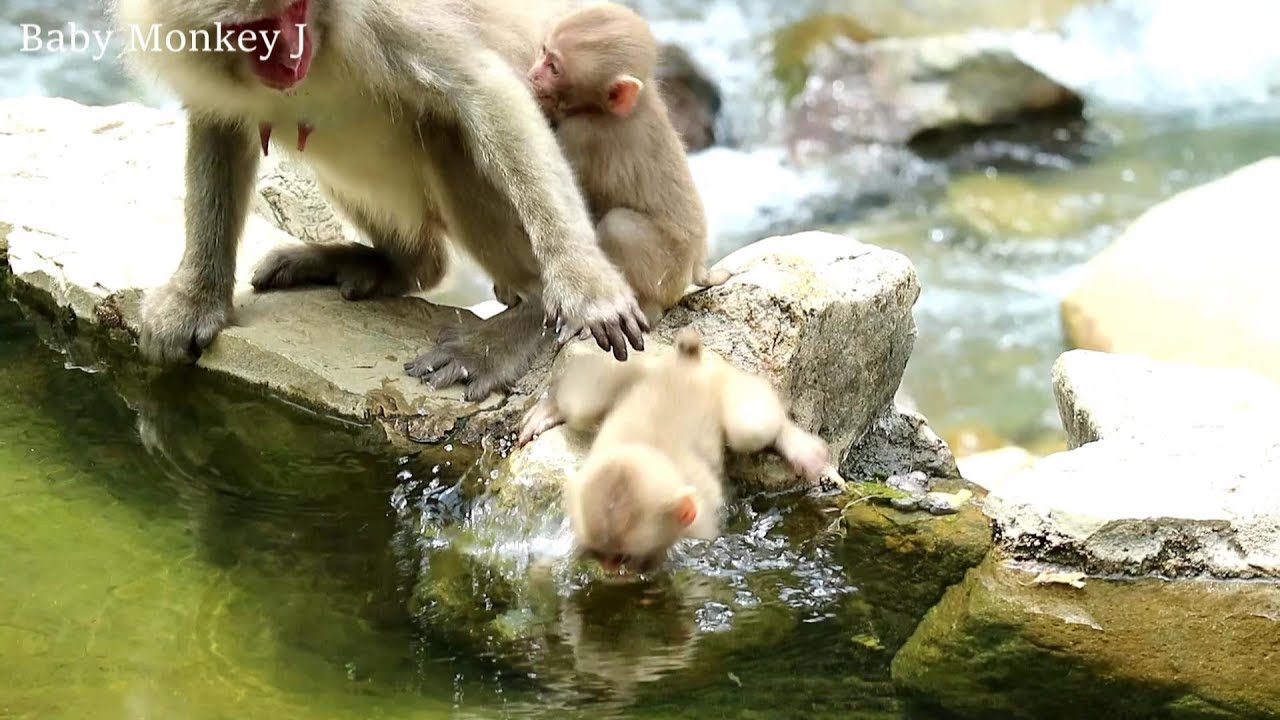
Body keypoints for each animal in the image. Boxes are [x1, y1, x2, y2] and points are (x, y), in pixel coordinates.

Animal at [114, 0, 651, 401]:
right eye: (255, 29)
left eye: (297, 8)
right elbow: (218, 120)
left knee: (448, 130)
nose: (291, 59)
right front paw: (196, 299)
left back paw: (524, 313)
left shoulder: (382, 16)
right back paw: (393, 263)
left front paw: (583, 284)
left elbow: (484, 91)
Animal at [519, 328, 831, 574]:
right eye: (599, 554)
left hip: (724, 383)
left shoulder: (699, 528)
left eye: (624, 558)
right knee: (582, 406)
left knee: (752, 427)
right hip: (641, 365)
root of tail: (686, 361)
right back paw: (552, 408)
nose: (610, 570)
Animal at [523, 2, 728, 326]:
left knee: (619, 227)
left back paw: (646, 309)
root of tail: (696, 262)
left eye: (554, 68)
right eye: (543, 51)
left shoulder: (581, 133)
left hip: (669, 269)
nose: (533, 74)